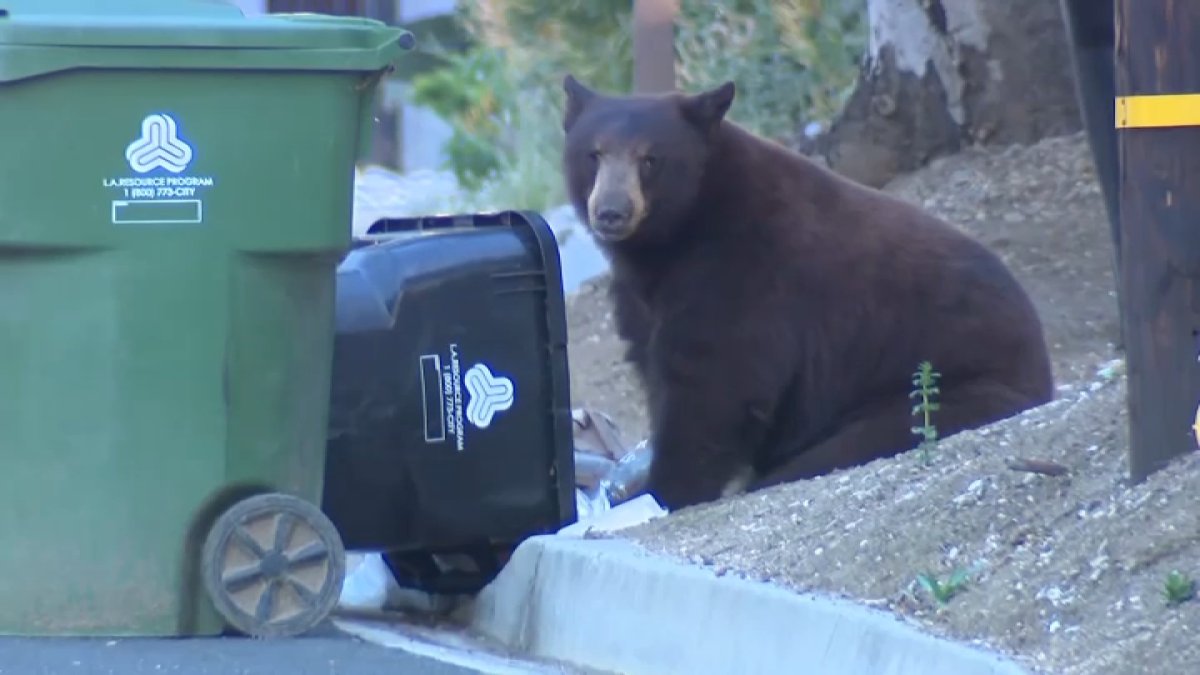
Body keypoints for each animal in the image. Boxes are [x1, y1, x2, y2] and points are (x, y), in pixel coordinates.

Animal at [560, 74, 1056, 512]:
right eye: (594, 154)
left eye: (650, 158)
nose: (611, 212)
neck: (679, 233)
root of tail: (1042, 368)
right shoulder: (645, 294)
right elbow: (655, 360)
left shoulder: (744, 272)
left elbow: (716, 381)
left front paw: (668, 490)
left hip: (944, 390)